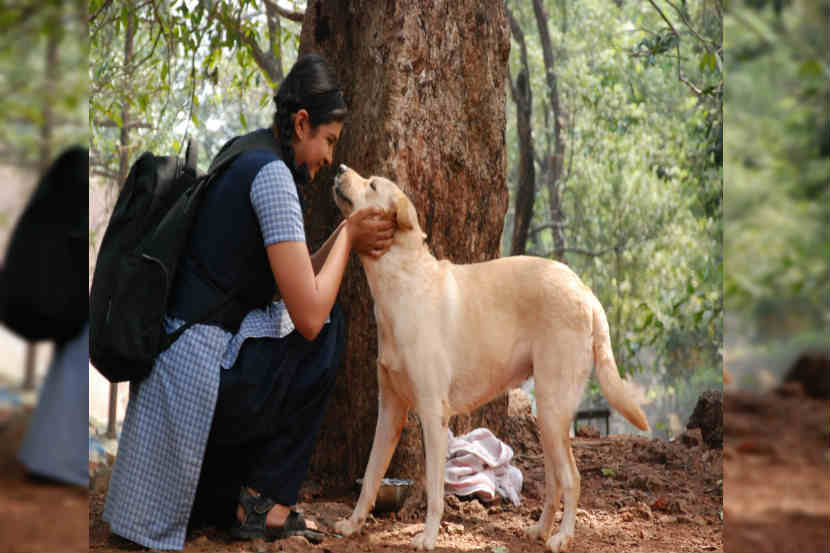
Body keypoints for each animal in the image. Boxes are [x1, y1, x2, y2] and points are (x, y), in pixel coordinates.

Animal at [332, 165, 648, 552]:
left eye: (373, 184)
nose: (340, 168)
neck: (400, 283)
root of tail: (584, 290)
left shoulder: (433, 413)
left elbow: (434, 489)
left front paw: (428, 536)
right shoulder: (390, 410)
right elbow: (371, 476)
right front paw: (353, 524)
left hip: (553, 406)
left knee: (571, 478)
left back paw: (562, 536)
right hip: (549, 418)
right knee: (555, 481)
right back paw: (540, 531)